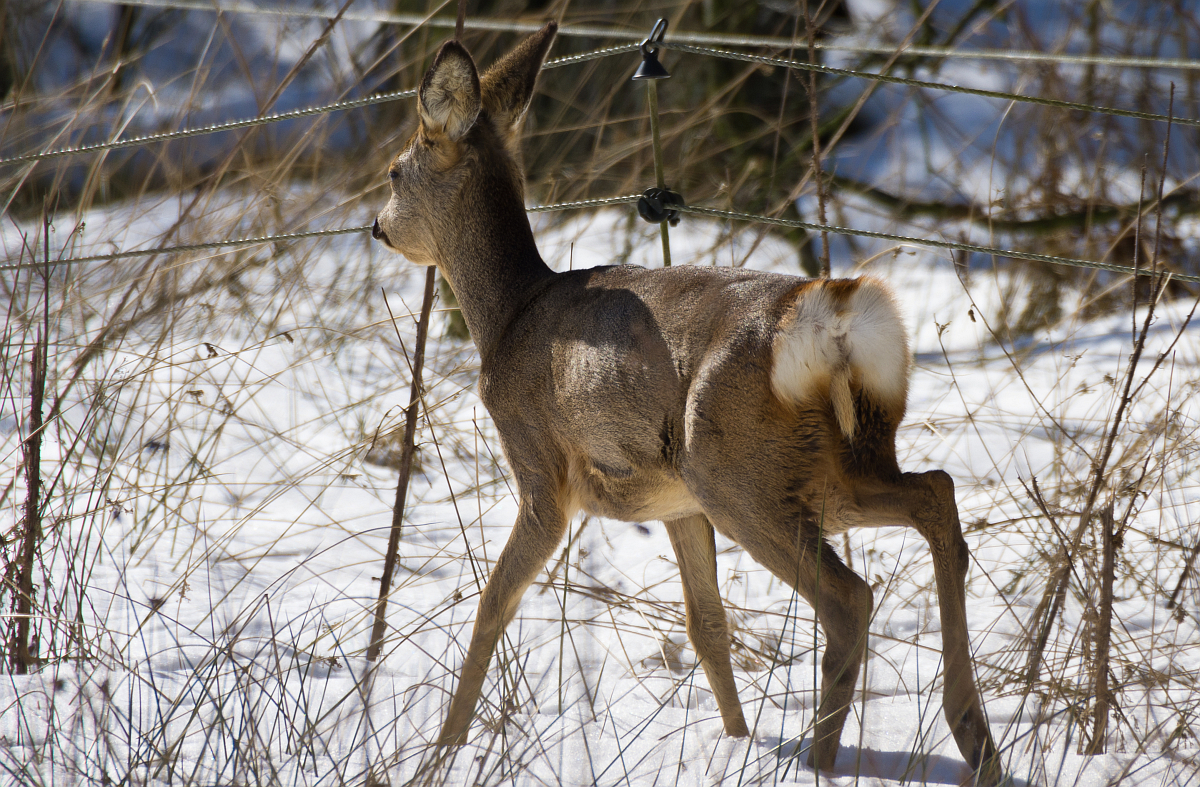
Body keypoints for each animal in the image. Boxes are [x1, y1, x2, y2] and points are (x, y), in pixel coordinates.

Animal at [367, 21, 1003, 782]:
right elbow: (708, 626)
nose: (377, 228)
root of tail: (833, 316)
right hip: (828, 463)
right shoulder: (672, 503)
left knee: (850, 595)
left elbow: (494, 602)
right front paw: (733, 739)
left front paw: (444, 749)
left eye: (395, 171)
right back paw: (973, 737)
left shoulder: (543, 469)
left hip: (734, 469)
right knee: (935, 493)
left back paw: (823, 759)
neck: (509, 315)